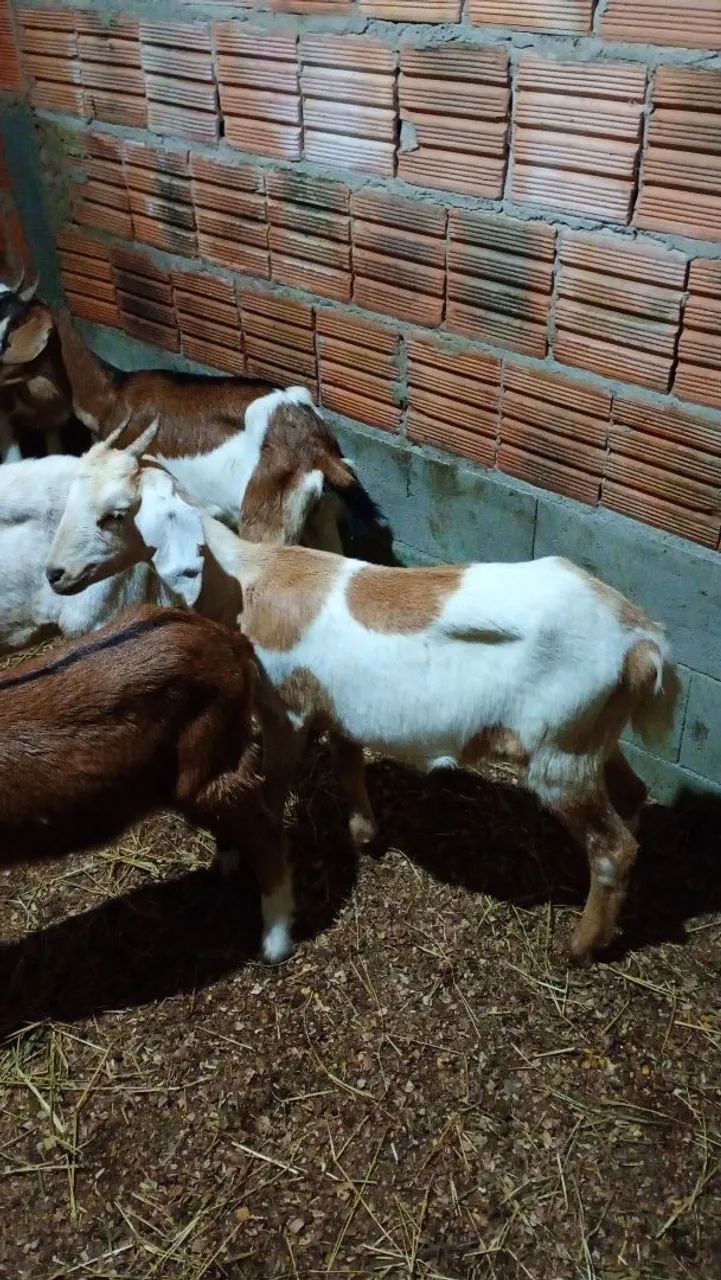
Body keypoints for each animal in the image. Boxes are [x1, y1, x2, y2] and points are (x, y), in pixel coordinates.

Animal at [46, 440, 678, 966]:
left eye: (116, 513)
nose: (55, 574)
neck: (247, 581)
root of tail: (643, 642)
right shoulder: (339, 707)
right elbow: (348, 761)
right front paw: (364, 833)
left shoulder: (285, 710)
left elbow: (272, 789)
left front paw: (244, 859)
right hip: (592, 736)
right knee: (632, 796)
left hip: (559, 752)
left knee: (612, 848)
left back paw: (581, 946)